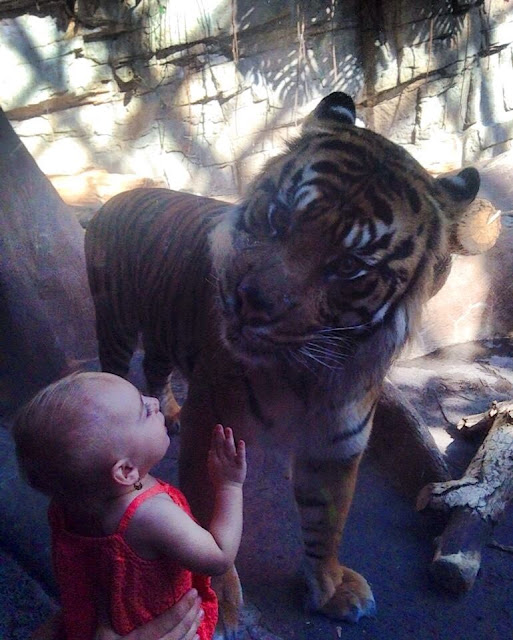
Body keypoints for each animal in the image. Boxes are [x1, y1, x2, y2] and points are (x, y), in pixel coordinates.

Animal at [84, 92, 480, 628]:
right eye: (277, 218)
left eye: (348, 267)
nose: (250, 301)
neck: (306, 374)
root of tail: (117, 197)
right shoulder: (214, 424)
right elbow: (209, 519)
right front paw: (219, 603)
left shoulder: (337, 443)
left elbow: (326, 521)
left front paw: (329, 587)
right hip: (117, 323)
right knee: (114, 373)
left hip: (164, 331)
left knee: (157, 370)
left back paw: (168, 413)